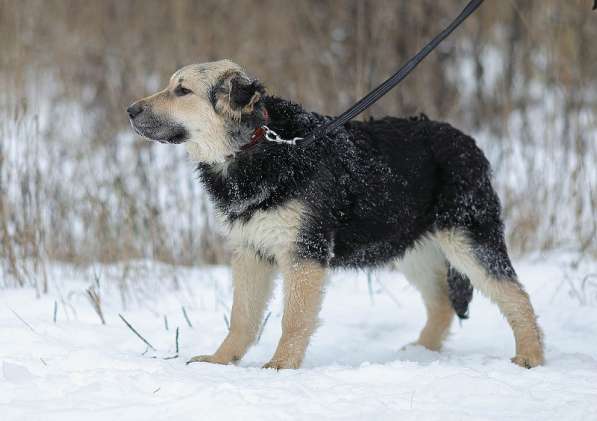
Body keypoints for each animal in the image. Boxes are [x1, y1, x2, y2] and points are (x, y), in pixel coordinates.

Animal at [128, 58, 544, 368]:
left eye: (182, 91)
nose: (130, 110)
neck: (260, 144)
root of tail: (469, 141)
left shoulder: (303, 254)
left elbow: (293, 318)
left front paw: (281, 366)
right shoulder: (251, 253)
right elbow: (242, 317)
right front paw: (220, 361)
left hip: (467, 241)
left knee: (517, 296)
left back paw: (530, 355)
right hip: (410, 248)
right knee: (442, 303)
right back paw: (423, 353)